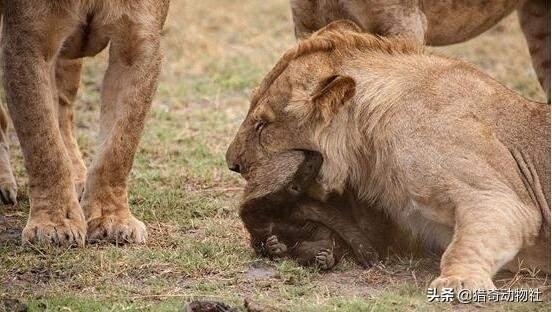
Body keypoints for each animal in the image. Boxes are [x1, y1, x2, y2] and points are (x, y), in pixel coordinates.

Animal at [0, 1, 169, 247]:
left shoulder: (137, 44)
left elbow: (119, 148)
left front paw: (111, 220)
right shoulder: (27, 41)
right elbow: (44, 144)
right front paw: (53, 224)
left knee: (63, 111)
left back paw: (78, 179)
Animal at [226, 21, 548, 290]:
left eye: (262, 125)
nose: (233, 164)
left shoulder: (500, 197)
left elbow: (471, 239)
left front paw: (457, 281)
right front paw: (293, 242)